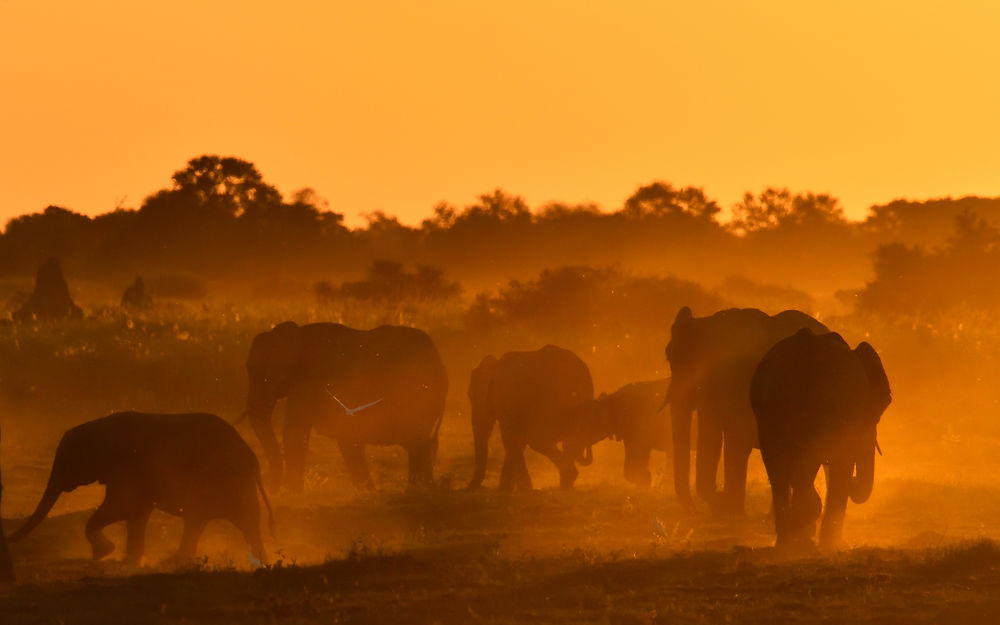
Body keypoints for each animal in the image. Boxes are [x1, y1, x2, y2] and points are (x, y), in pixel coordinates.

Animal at [8, 410, 274, 564]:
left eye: (65, 461)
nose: (7, 539)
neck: (99, 427)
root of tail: (254, 461)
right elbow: (135, 514)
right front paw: (129, 558)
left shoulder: (129, 467)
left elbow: (121, 506)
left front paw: (104, 553)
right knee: (220, 522)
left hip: (227, 482)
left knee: (226, 521)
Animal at [244, 322, 448, 492]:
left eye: (255, 372)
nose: (272, 488)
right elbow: (345, 438)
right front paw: (366, 493)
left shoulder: (308, 380)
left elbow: (294, 432)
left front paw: (292, 493)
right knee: (419, 444)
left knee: (417, 443)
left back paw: (420, 490)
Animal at [466, 344, 596, 490]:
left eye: (470, 397)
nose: (468, 488)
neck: (494, 364)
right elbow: (517, 441)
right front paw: (512, 489)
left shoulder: (506, 400)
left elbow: (511, 440)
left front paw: (520, 490)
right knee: (569, 442)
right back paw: (566, 486)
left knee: (537, 439)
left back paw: (568, 477)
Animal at [752, 330, 892, 548]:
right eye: (875, 416)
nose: (854, 481)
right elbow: (842, 463)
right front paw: (832, 545)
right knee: (801, 468)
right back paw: (800, 536)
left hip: (767, 411)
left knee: (778, 469)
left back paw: (786, 541)